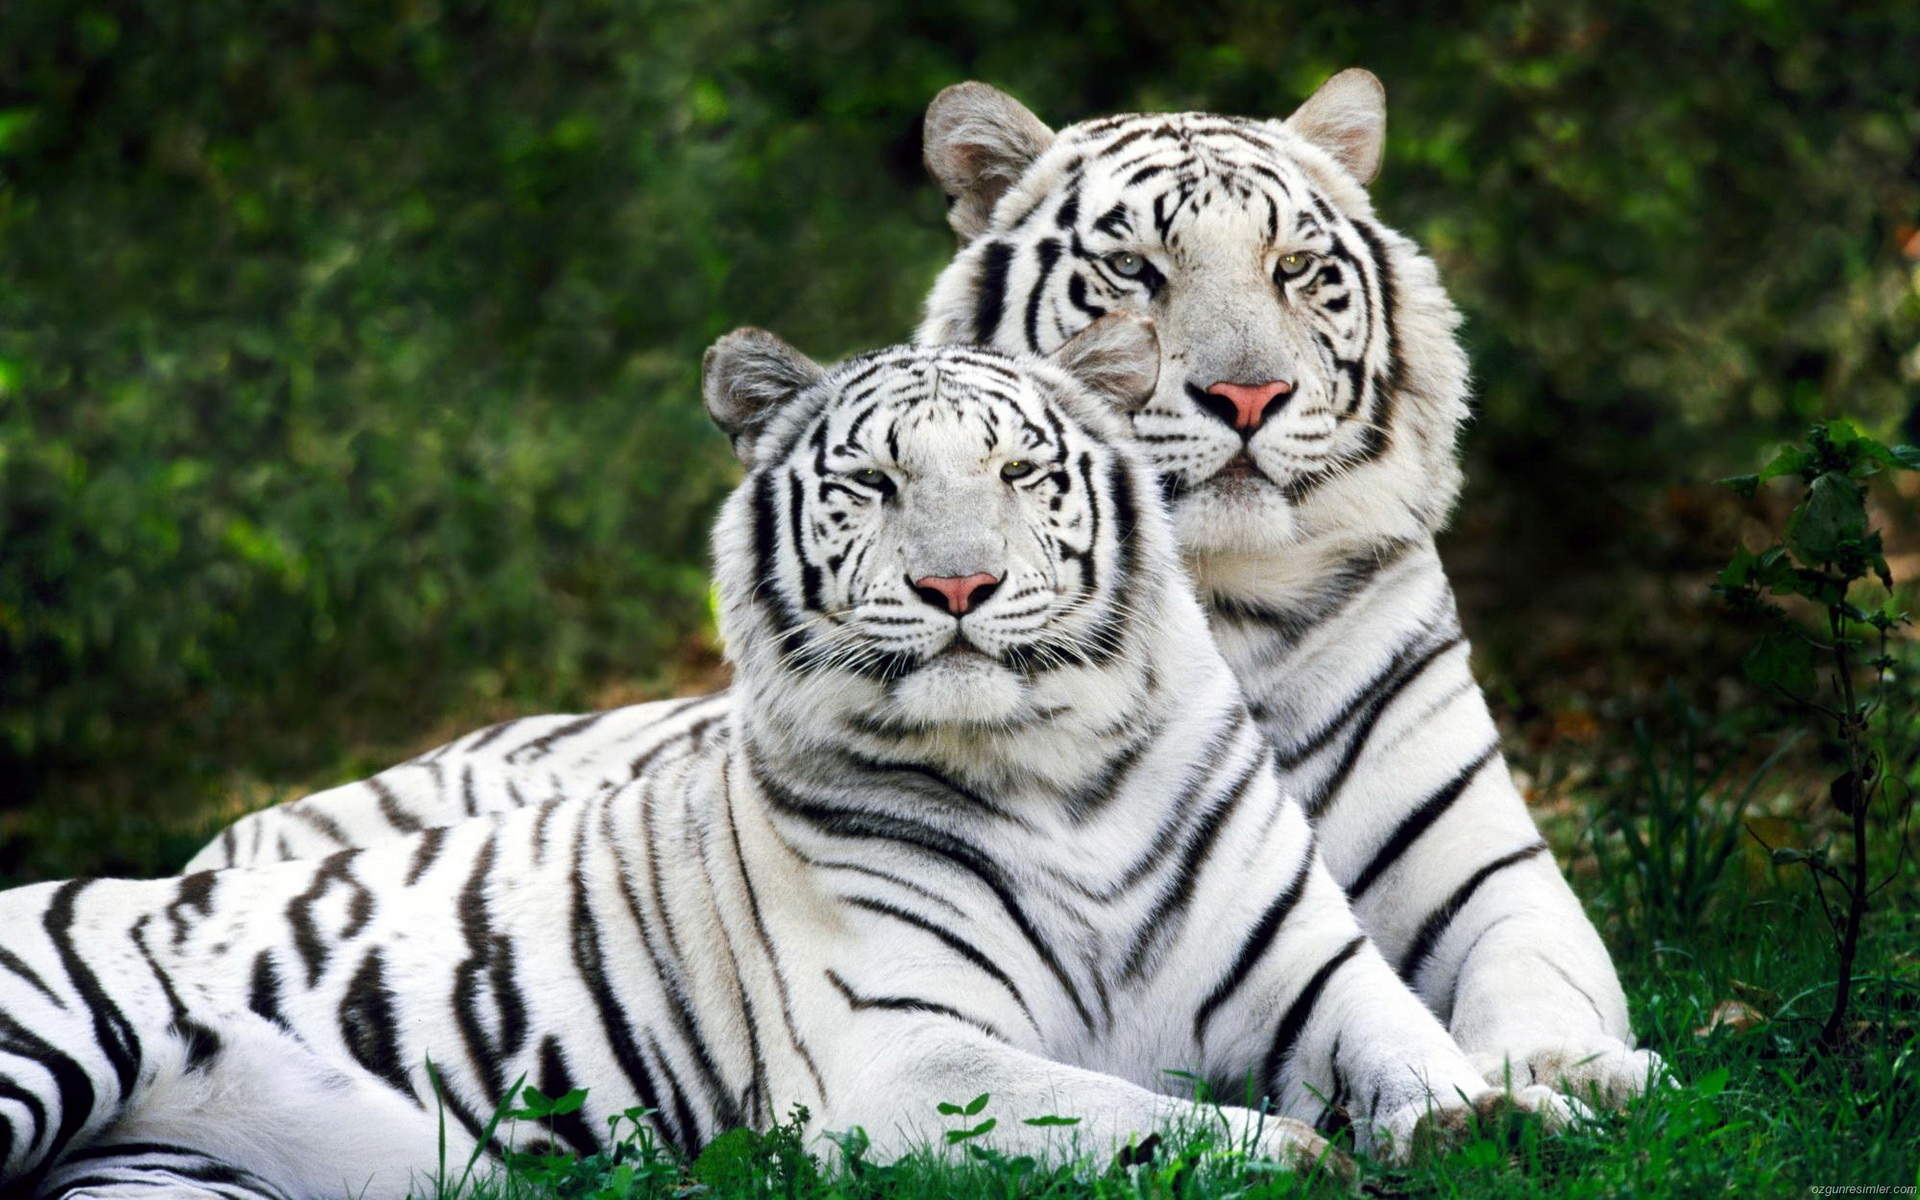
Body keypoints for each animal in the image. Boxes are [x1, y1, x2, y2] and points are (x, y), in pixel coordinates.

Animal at [0, 324, 1580, 1198]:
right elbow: (1149, 1118)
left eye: (1020, 473)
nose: (959, 588)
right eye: (873, 483)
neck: (1056, 772)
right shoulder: (900, 1056)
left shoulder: (1314, 975)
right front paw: (1305, 1158)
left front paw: (1518, 1117)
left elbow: (1418, 1054)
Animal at [187, 69, 1659, 1105]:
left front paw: (1574, 1075)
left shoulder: (1488, 870)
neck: (1224, 605)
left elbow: (1539, 974)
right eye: (1134, 270)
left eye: (1297, 269)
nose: (1246, 396)